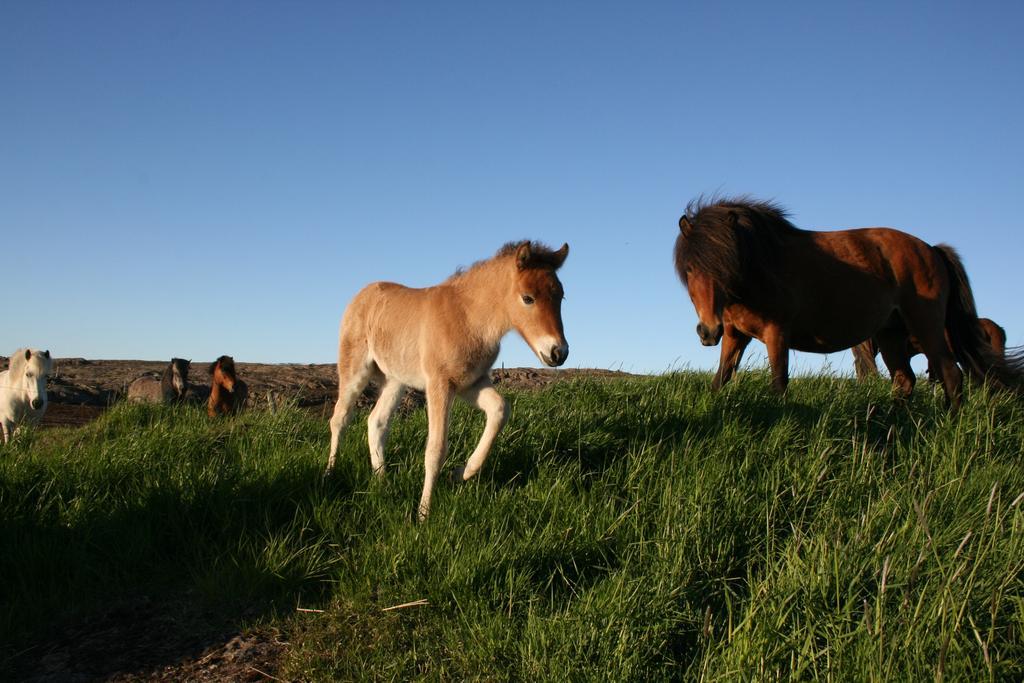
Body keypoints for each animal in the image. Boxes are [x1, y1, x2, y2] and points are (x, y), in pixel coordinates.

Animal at [325, 239, 569, 518]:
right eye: (527, 298)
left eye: (560, 296)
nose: (558, 353)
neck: (469, 318)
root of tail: (362, 294)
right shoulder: (439, 385)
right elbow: (436, 449)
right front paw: (423, 514)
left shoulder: (471, 383)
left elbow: (500, 410)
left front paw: (461, 473)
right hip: (354, 370)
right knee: (340, 418)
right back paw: (330, 474)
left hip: (395, 380)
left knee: (376, 422)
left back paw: (382, 482)